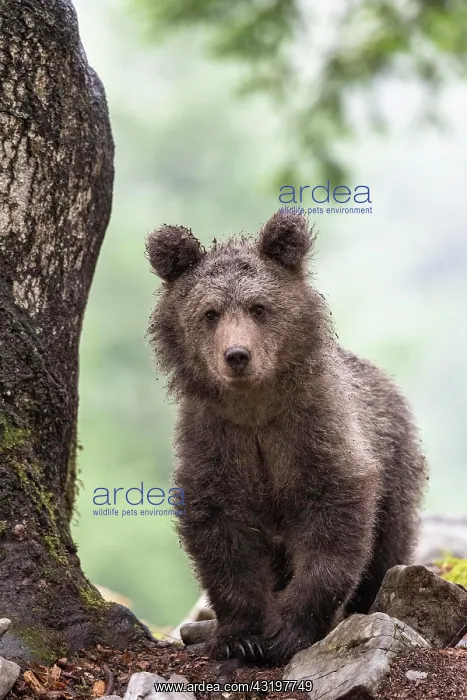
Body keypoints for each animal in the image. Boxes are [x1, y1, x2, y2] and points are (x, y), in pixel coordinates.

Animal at [146, 211, 427, 666]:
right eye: (210, 313)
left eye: (259, 307)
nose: (237, 355)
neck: (256, 409)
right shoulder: (217, 443)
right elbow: (223, 540)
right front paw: (240, 635)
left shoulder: (314, 435)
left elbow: (335, 530)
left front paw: (287, 632)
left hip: (397, 463)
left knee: (389, 545)